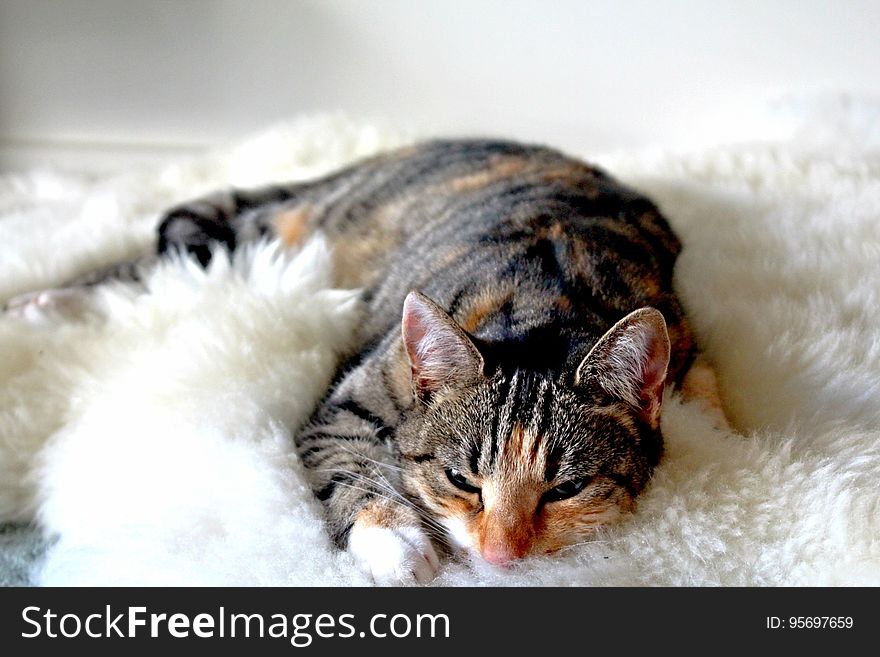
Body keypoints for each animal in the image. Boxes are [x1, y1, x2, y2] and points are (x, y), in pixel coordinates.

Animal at [8, 138, 720, 584]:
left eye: (565, 489)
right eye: (461, 479)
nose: (501, 554)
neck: (550, 303)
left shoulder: (692, 353)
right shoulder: (349, 401)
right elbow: (347, 464)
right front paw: (398, 542)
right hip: (263, 236)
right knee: (153, 267)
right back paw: (39, 304)